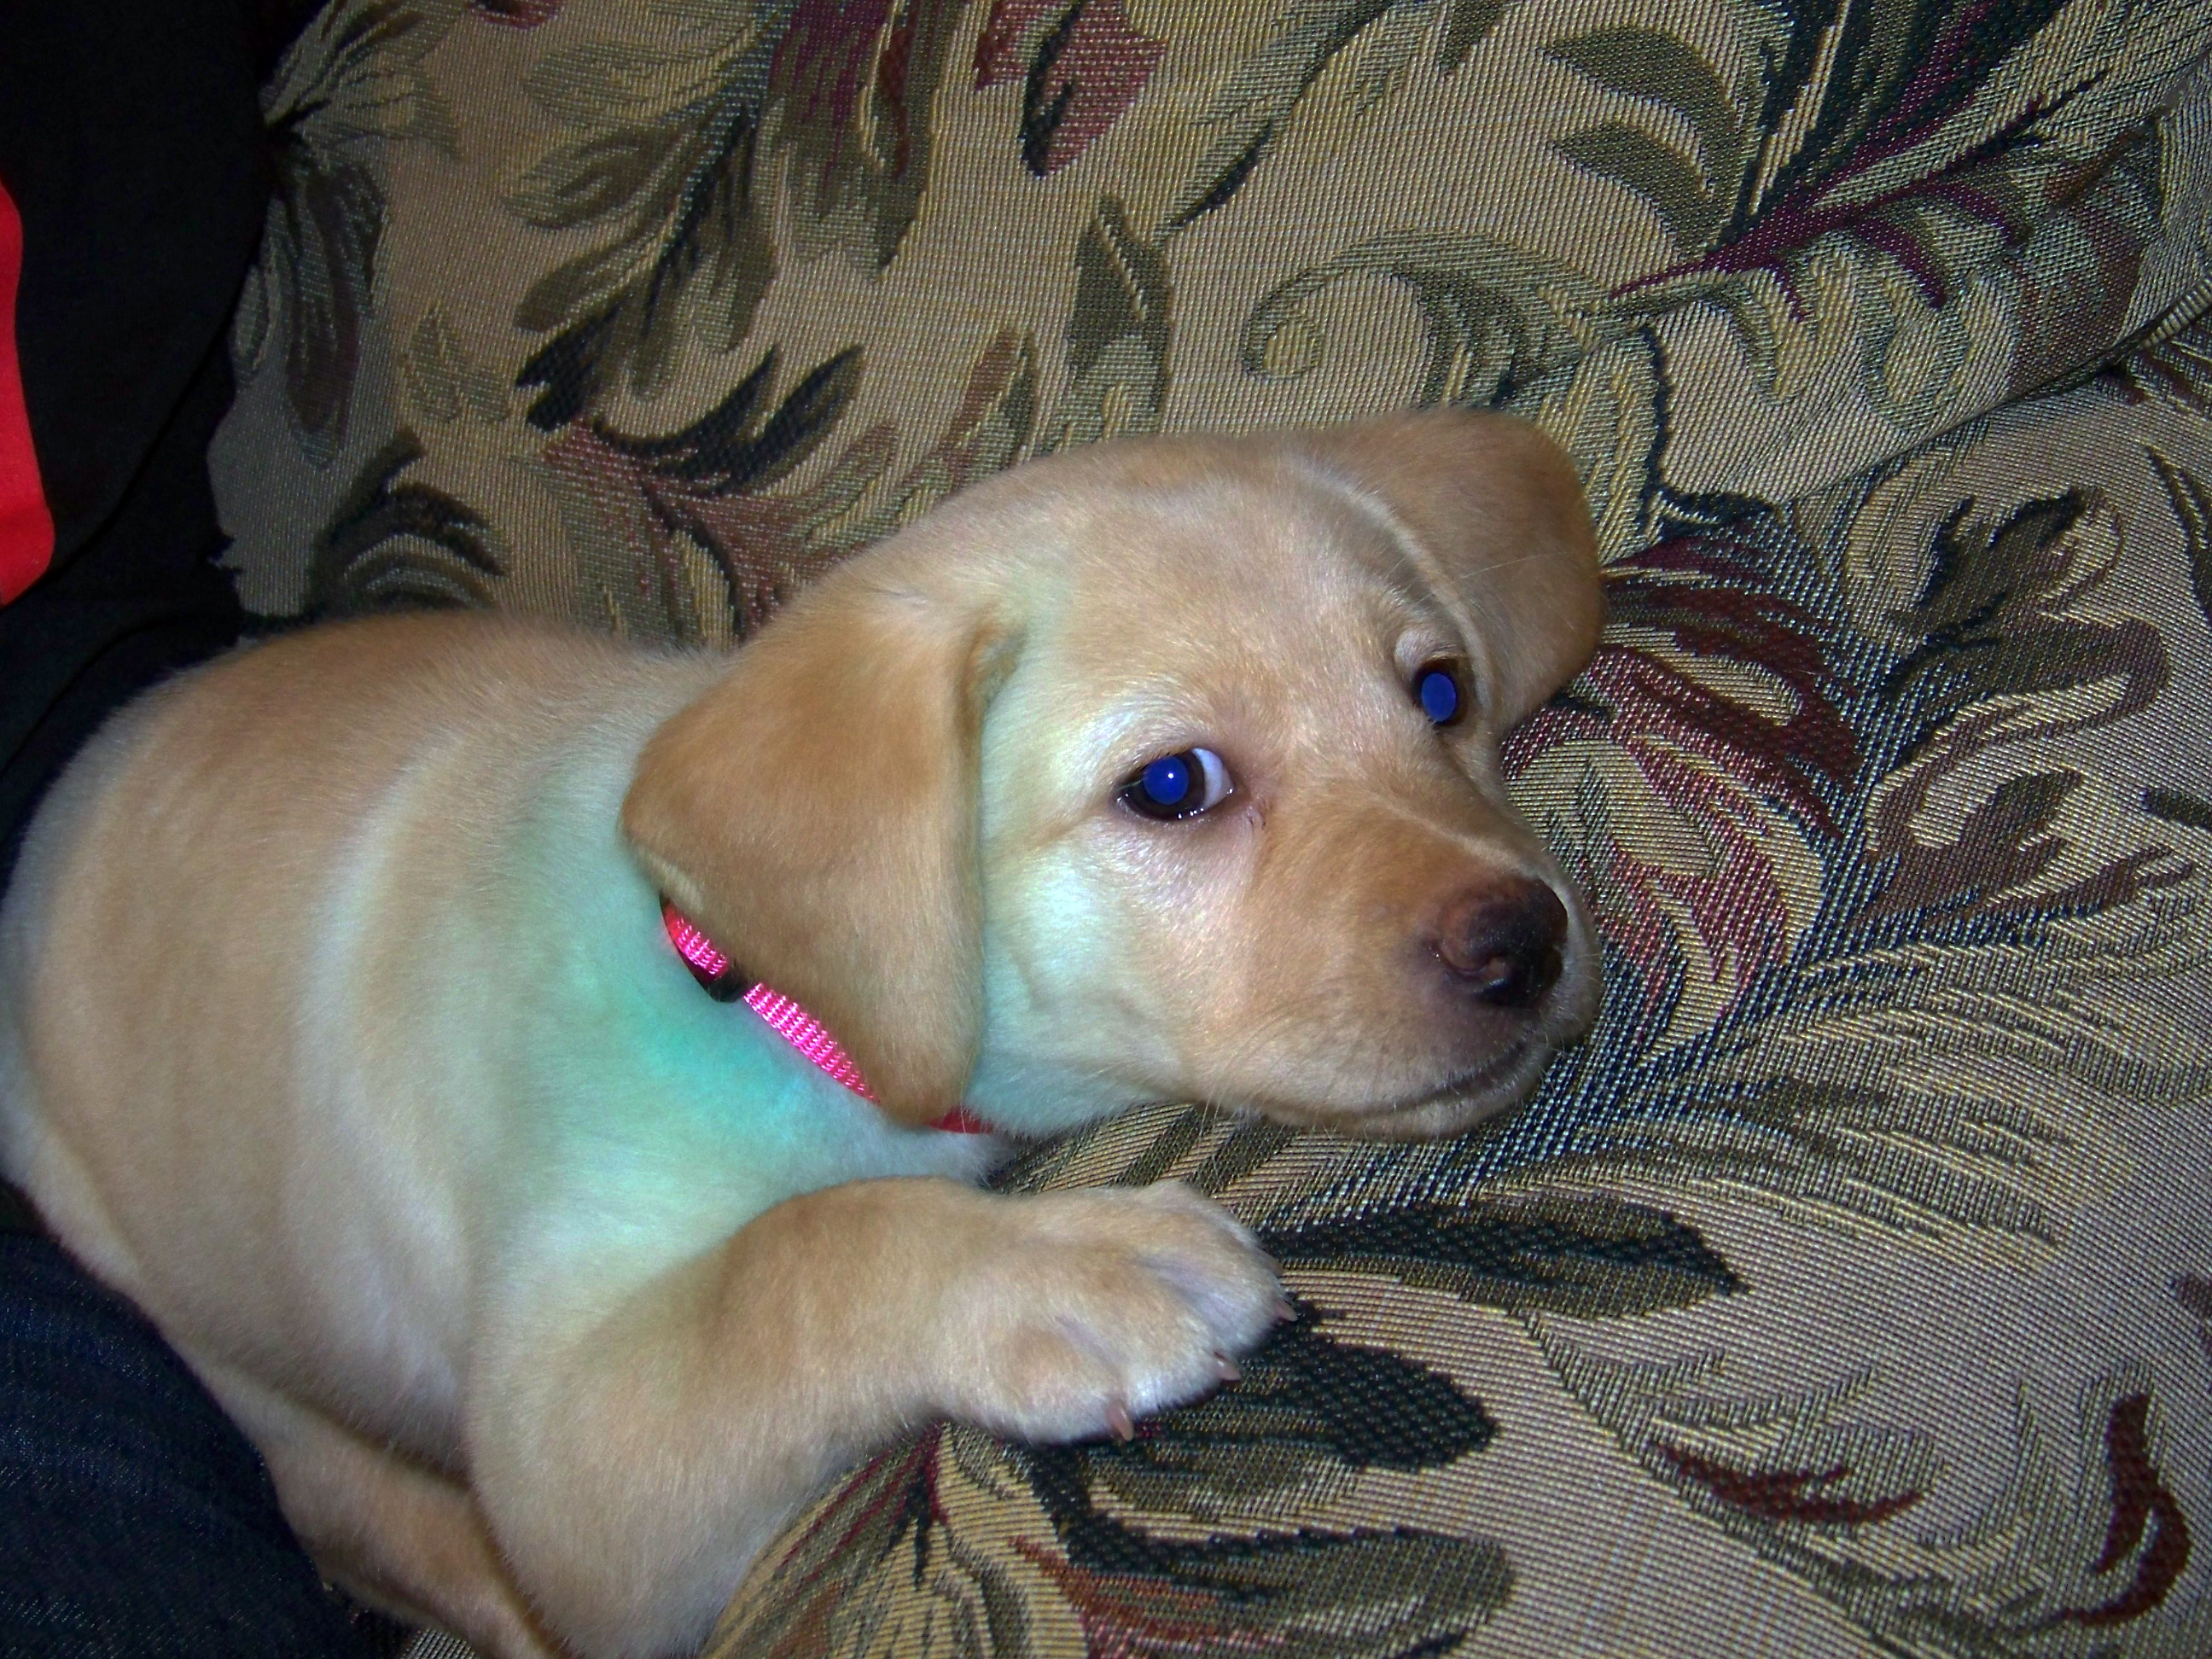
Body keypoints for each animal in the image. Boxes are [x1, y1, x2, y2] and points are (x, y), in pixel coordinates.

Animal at [0, 409, 1601, 1654]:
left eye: (1440, 693)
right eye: (1172, 786)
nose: (1525, 943)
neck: (761, 996)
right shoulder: (574, 1456)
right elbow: (802, 1251)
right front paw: (1069, 1260)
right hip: (210, 1320)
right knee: (361, 1503)